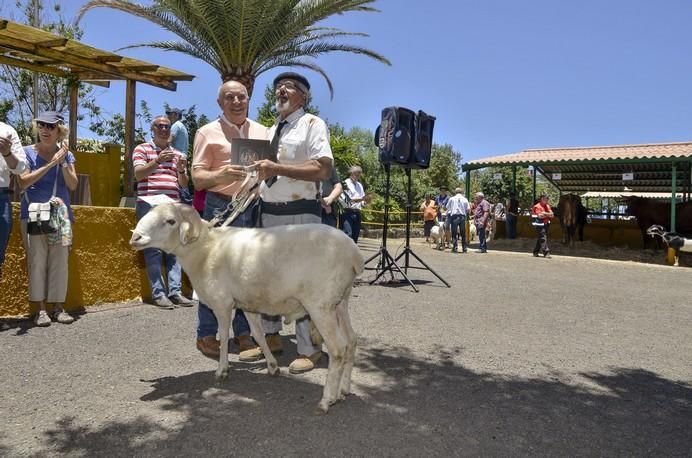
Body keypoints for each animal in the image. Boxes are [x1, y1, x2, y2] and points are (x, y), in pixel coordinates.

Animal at [128, 202, 362, 414]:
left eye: (170, 221)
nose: (135, 238)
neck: (205, 249)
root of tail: (353, 251)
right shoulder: (248, 305)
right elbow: (258, 335)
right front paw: (272, 366)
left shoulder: (222, 303)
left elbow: (223, 337)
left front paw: (222, 371)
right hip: (340, 302)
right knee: (351, 341)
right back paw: (344, 390)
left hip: (320, 306)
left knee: (338, 349)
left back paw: (327, 400)